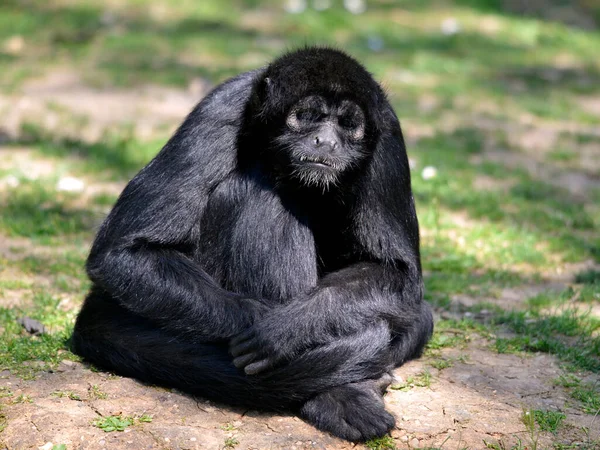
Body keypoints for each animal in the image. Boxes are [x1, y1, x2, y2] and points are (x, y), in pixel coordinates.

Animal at [72, 47, 434, 442]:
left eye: (347, 124)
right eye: (308, 117)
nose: (327, 141)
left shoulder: (388, 134)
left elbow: (398, 274)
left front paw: (285, 330)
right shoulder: (221, 108)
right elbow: (122, 253)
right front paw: (262, 325)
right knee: (261, 195)